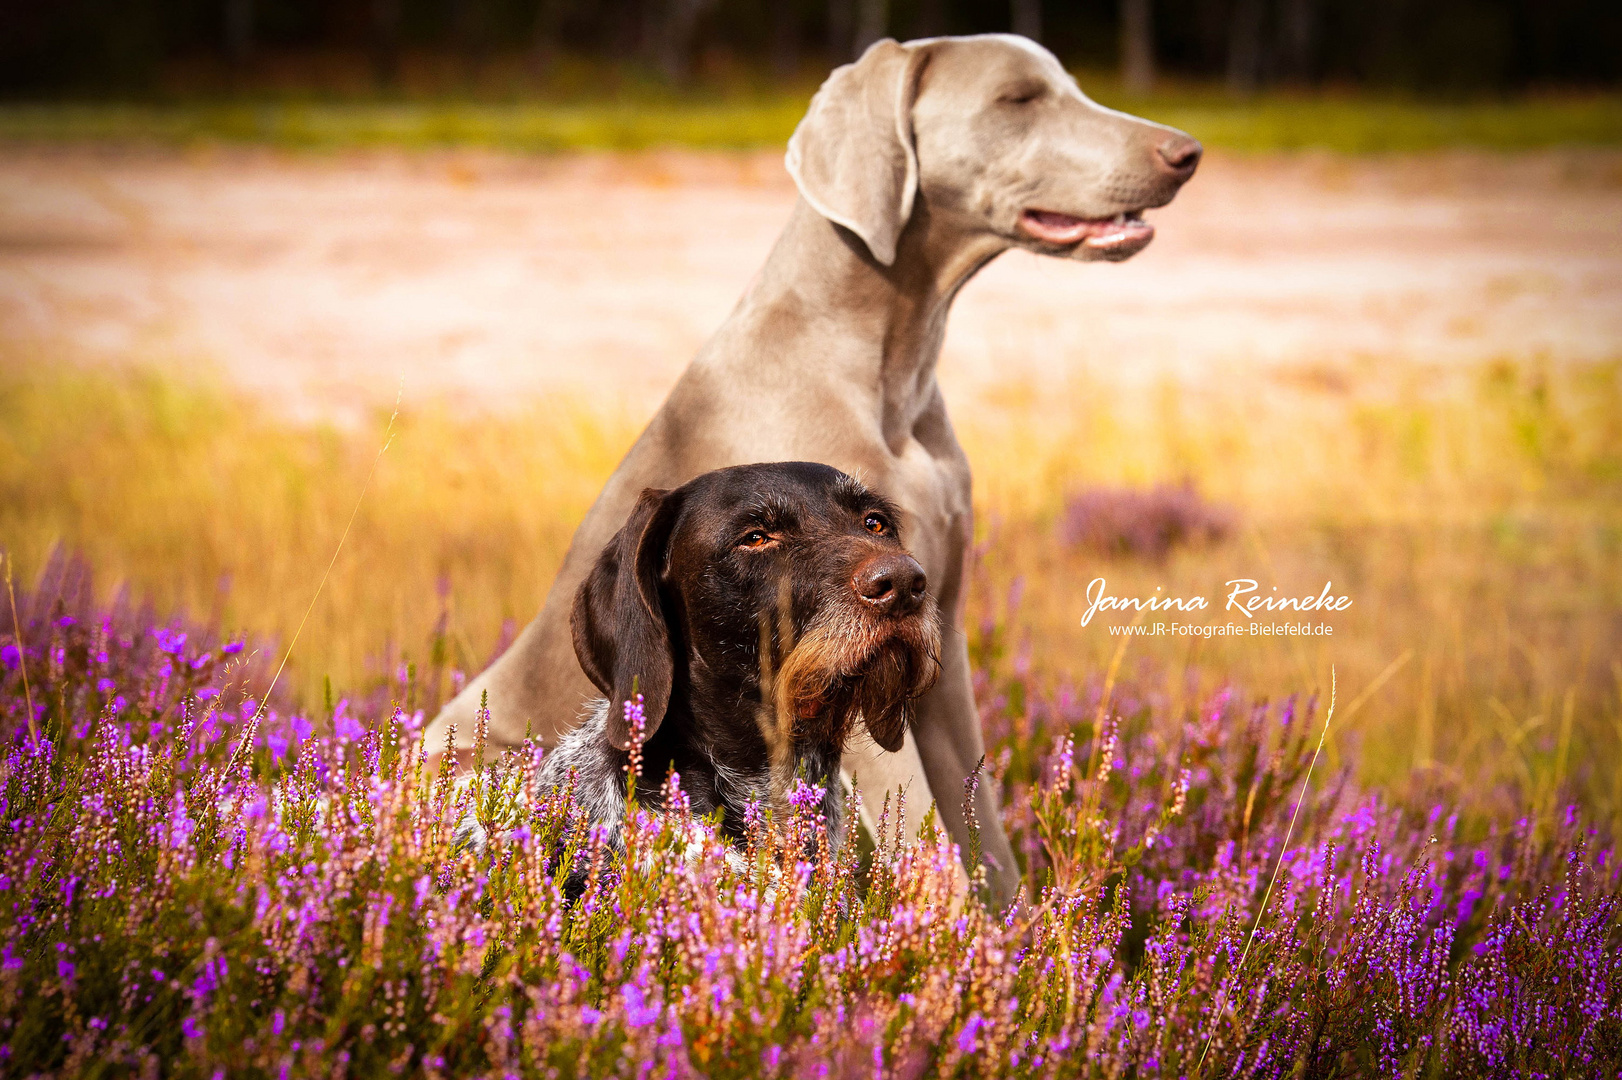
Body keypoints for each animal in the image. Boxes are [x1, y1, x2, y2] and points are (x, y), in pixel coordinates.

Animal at [424, 33, 1200, 901]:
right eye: (1020, 99)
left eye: (877, 520)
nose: (1186, 153)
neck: (889, 370)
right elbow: (935, 852)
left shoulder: (944, 648)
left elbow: (984, 843)